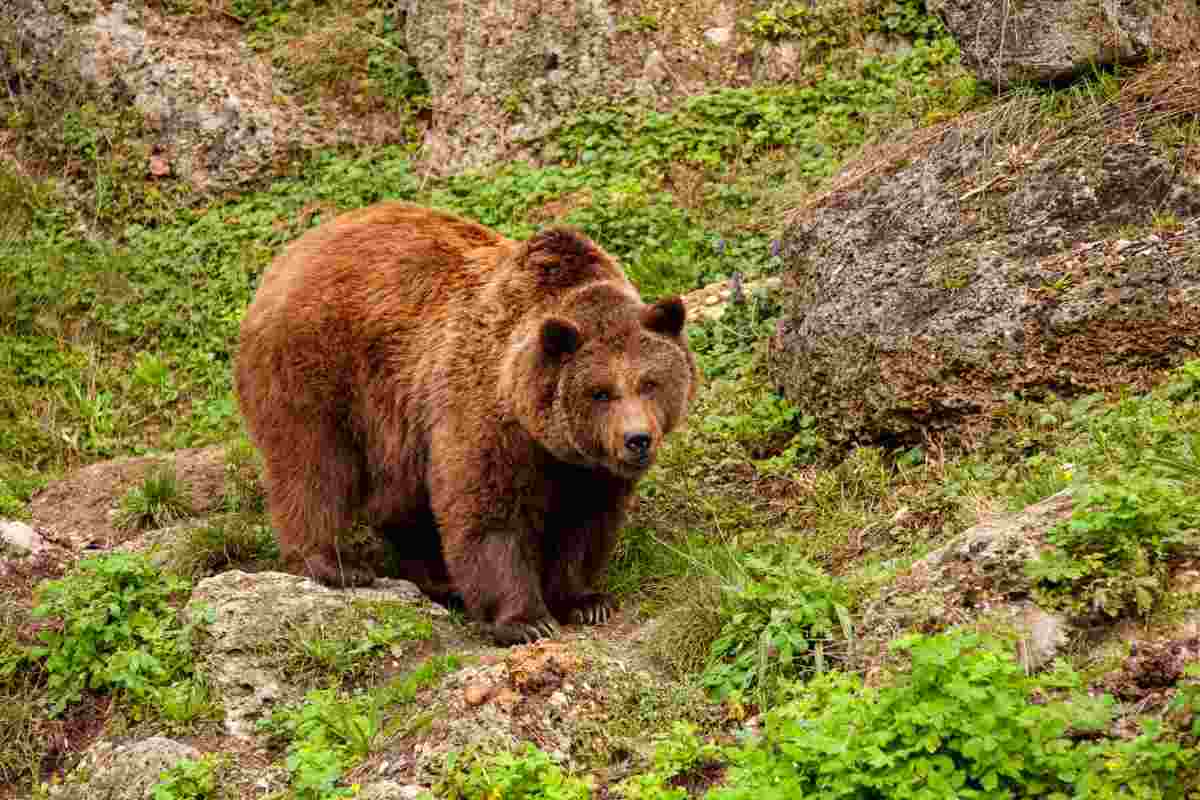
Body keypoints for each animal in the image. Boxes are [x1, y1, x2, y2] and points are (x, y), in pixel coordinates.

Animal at [234, 201, 698, 645]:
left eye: (650, 382)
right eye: (600, 391)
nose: (637, 439)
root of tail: (287, 257)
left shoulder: (589, 467)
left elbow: (585, 522)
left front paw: (586, 601)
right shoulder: (485, 412)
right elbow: (488, 512)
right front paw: (526, 620)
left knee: (398, 498)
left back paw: (436, 577)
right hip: (319, 369)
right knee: (314, 466)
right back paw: (334, 563)